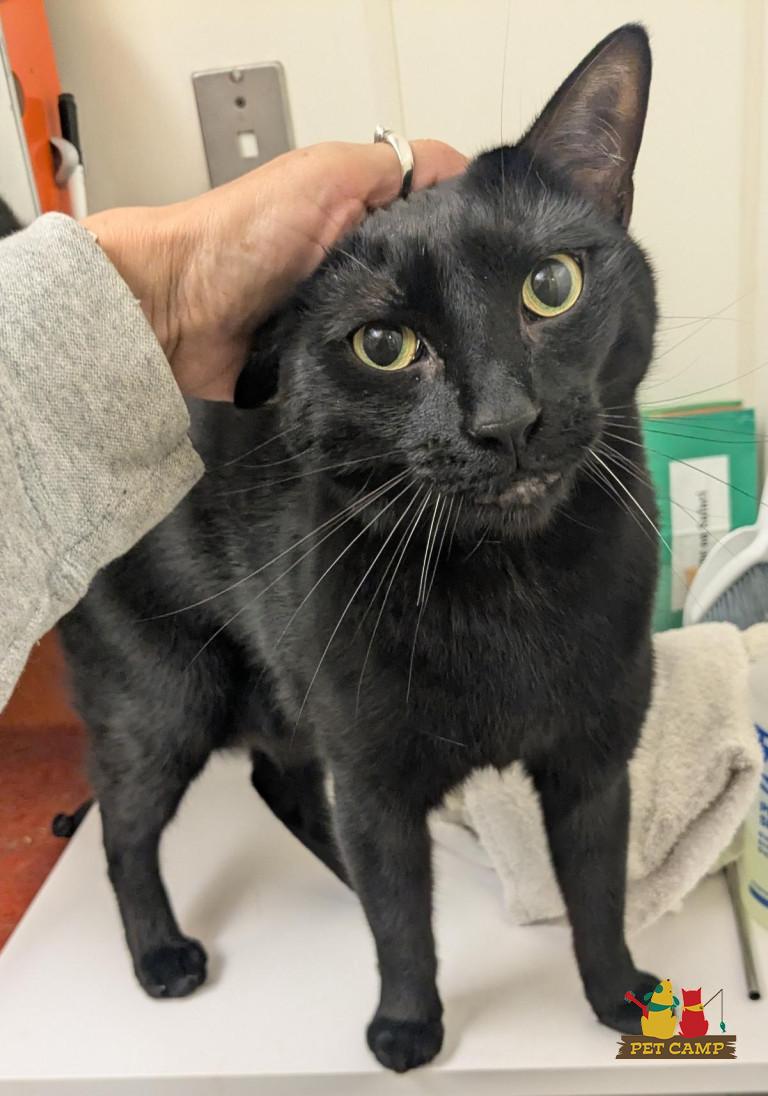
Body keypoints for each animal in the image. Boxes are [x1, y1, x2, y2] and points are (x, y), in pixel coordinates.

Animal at [58, 24, 660, 1073]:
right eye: (384, 345)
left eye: (552, 286)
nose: (506, 421)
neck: (510, 587)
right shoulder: (376, 776)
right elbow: (406, 927)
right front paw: (408, 1026)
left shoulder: (594, 763)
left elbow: (597, 892)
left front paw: (619, 999)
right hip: (165, 701)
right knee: (126, 835)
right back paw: (162, 955)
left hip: (285, 691)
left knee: (284, 786)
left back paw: (346, 882)